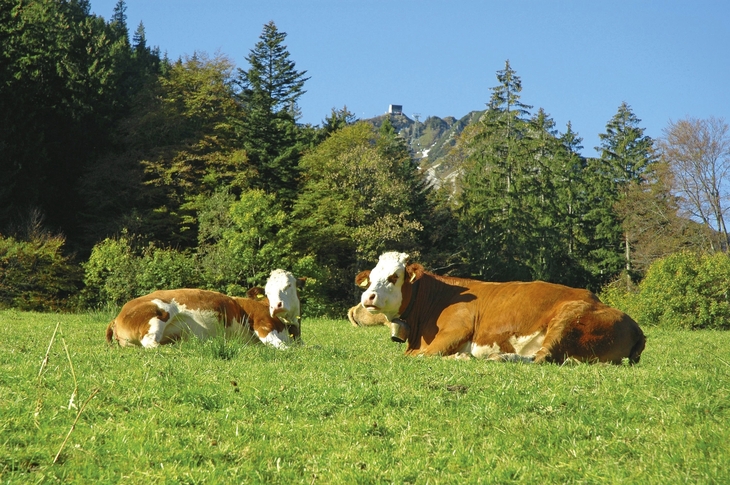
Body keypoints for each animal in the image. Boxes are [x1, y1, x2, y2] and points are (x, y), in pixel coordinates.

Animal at [356, 252, 646, 364]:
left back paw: (497, 357)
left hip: (567, 318)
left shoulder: (455, 330)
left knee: (543, 357)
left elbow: (422, 356)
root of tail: (635, 325)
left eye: (393, 277)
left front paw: (459, 356)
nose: (368, 297)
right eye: (371, 277)